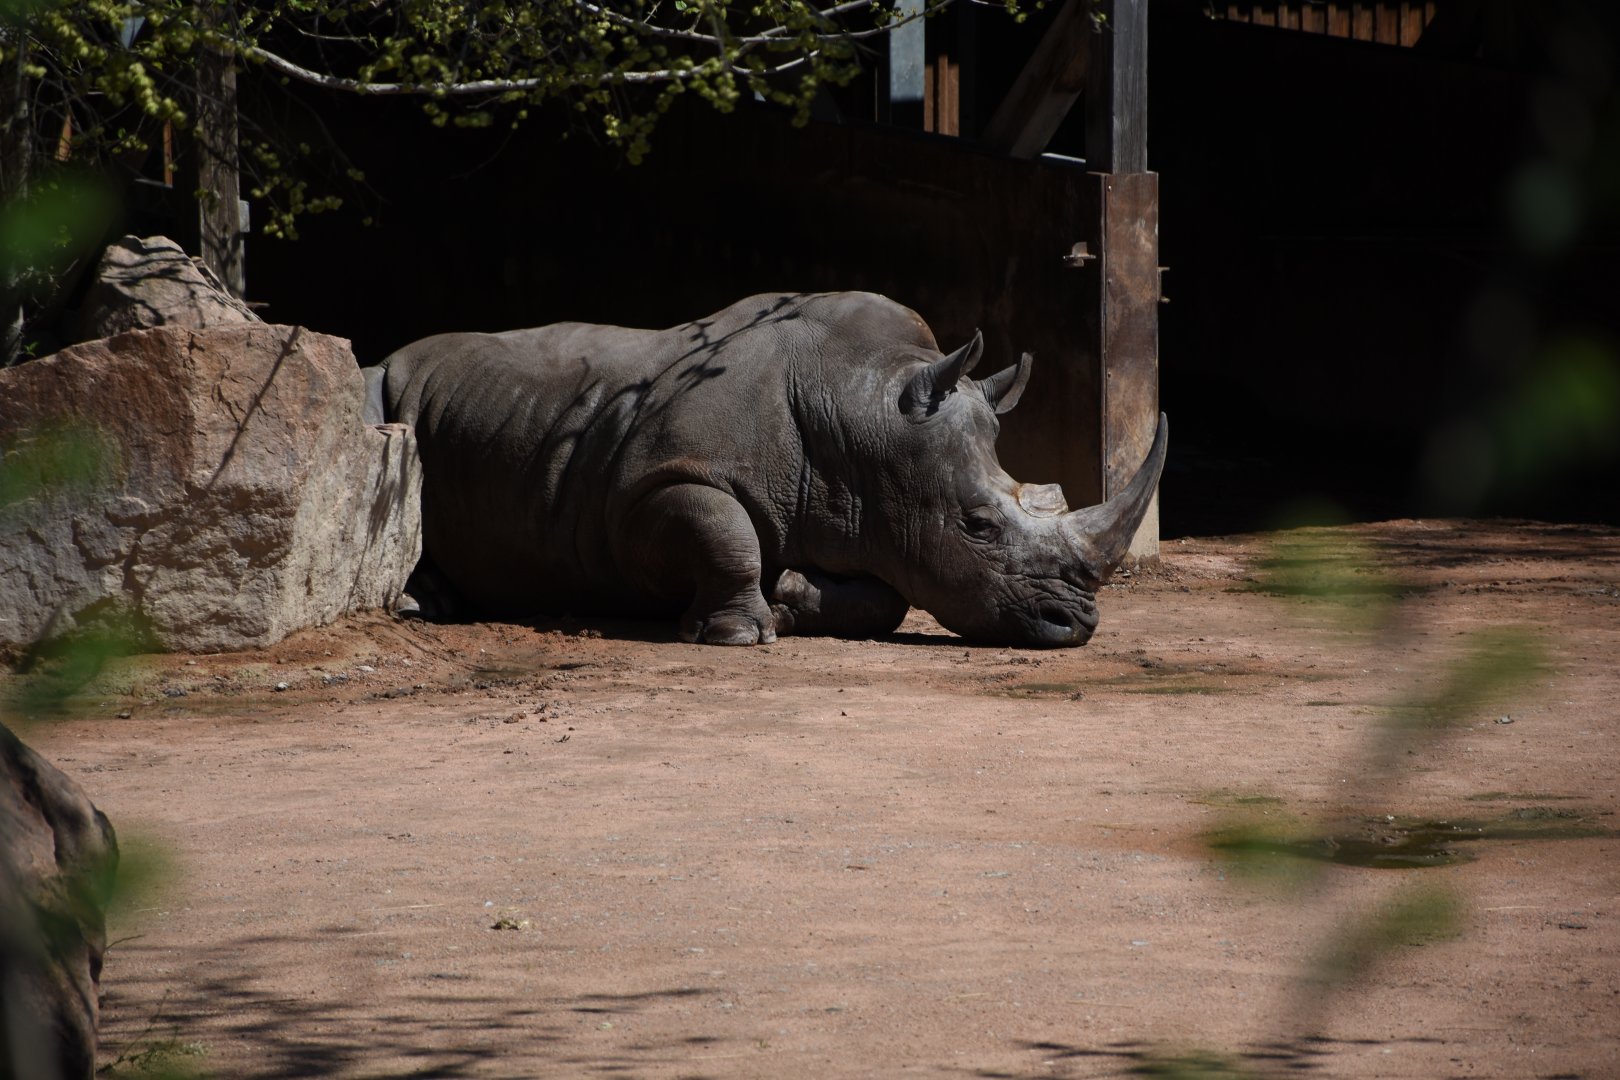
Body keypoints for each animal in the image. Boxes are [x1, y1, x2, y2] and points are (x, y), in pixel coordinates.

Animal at [367, 291, 1166, 647]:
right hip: (385, 382)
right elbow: (725, 530)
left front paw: (789, 595)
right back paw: (419, 605)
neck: (863, 418)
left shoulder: (870, 519)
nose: (1078, 625)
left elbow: (888, 599)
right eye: (977, 526)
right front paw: (739, 634)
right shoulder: (652, 483)